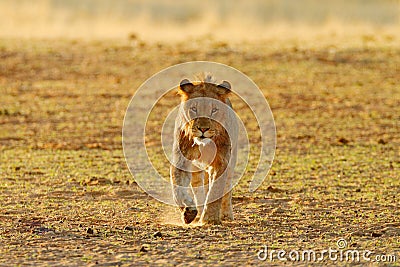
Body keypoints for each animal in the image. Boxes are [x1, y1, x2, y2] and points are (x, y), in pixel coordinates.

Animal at [170, 74, 238, 226]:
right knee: (197, 188)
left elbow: (216, 189)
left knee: (227, 188)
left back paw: (226, 214)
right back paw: (198, 212)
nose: (203, 129)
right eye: (194, 108)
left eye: (214, 110)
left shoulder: (221, 161)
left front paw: (210, 218)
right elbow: (177, 188)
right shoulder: (181, 160)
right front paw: (188, 212)